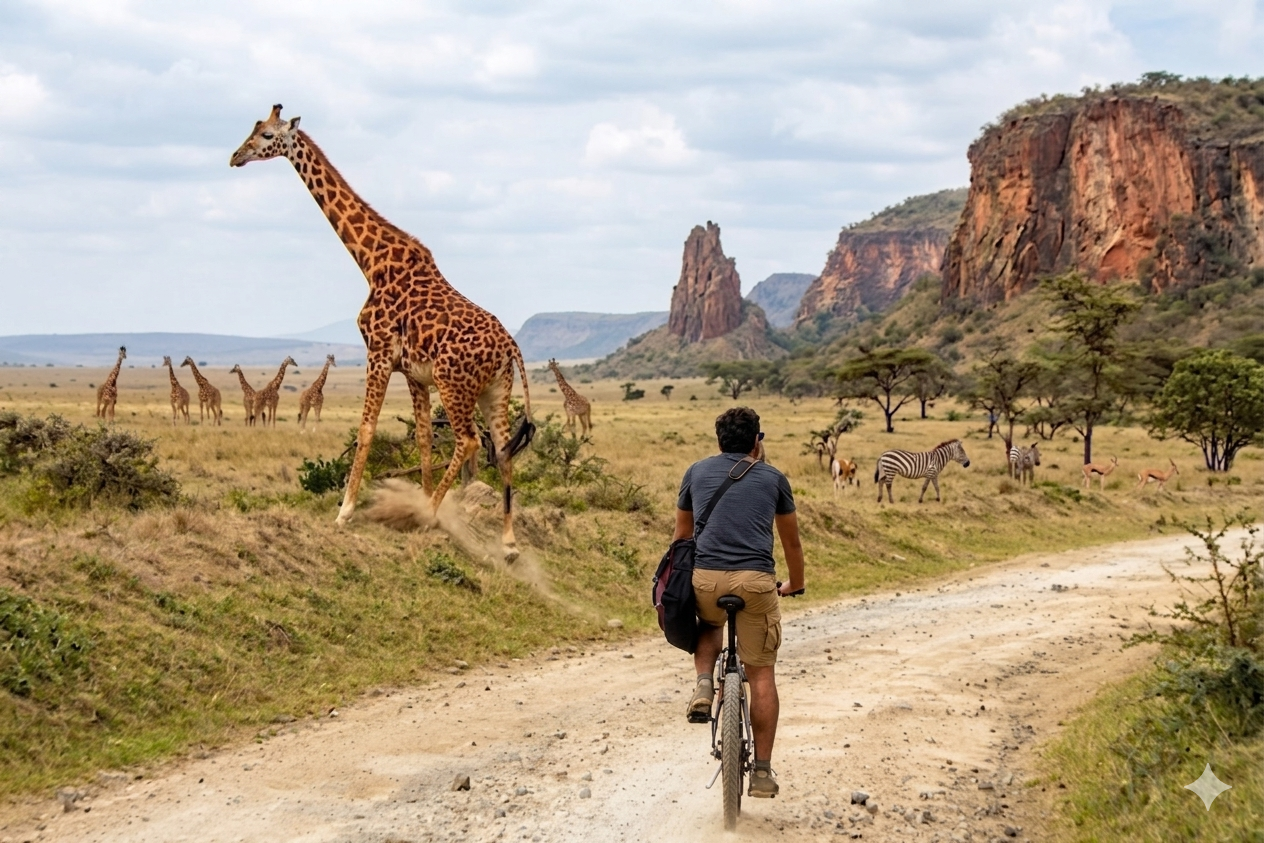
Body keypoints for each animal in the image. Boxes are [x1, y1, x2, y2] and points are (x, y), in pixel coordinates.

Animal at [231, 105, 534, 561]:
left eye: (266, 135)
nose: (235, 157)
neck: (371, 261)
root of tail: (511, 346)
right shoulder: (412, 372)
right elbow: (424, 438)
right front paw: (420, 499)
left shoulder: (378, 353)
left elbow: (366, 429)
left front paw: (346, 511)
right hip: (496, 390)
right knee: (500, 449)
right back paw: (509, 542)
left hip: (454, 383)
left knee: (468, 441)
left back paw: (428, 514)